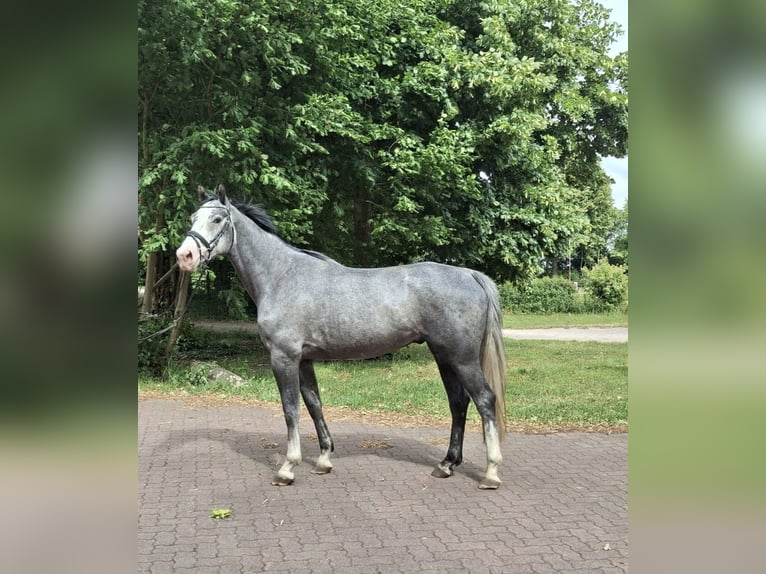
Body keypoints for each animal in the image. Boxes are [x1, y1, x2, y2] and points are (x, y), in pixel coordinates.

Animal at [176, 184, 508, 489]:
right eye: (193, 217)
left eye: (218, 219)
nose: (185, 256)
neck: (282, 276)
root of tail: (469, 274)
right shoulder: (304, 359)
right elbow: (314, 404)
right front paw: (323, 459)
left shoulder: (284, 357)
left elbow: (290, 409)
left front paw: (287, 467)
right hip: (444, 356)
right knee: (458, 403)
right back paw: (446, 464)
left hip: (462, 358)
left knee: (484, 400)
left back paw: (491, 472)